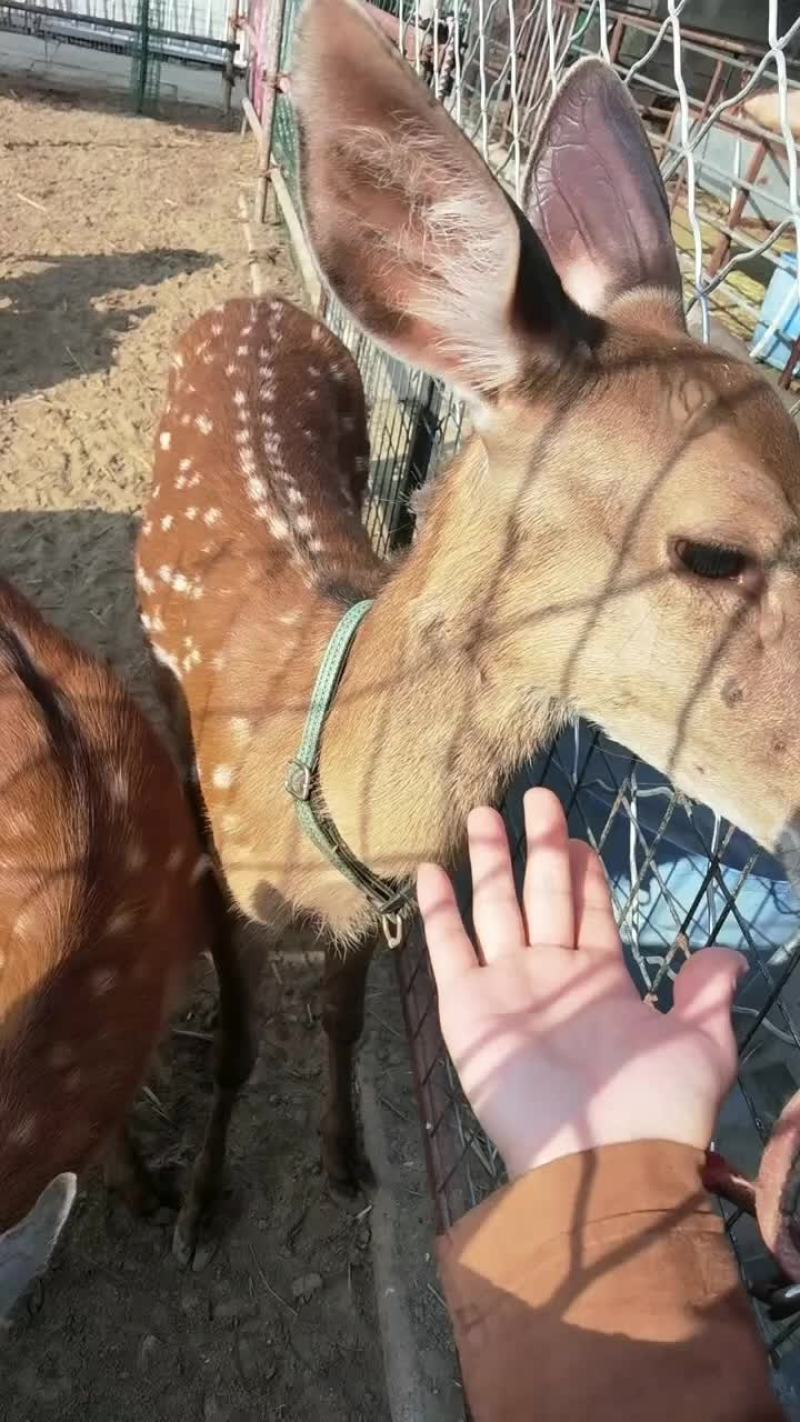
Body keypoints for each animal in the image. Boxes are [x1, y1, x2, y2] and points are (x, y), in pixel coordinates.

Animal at [135, 0, 800, 1229]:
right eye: (711, 550)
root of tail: (258, 296)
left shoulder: (371, 912)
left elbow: (344, 1022)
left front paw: (346, 1158)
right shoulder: (219, 872)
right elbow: (237, 1048)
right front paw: (201, 1204)